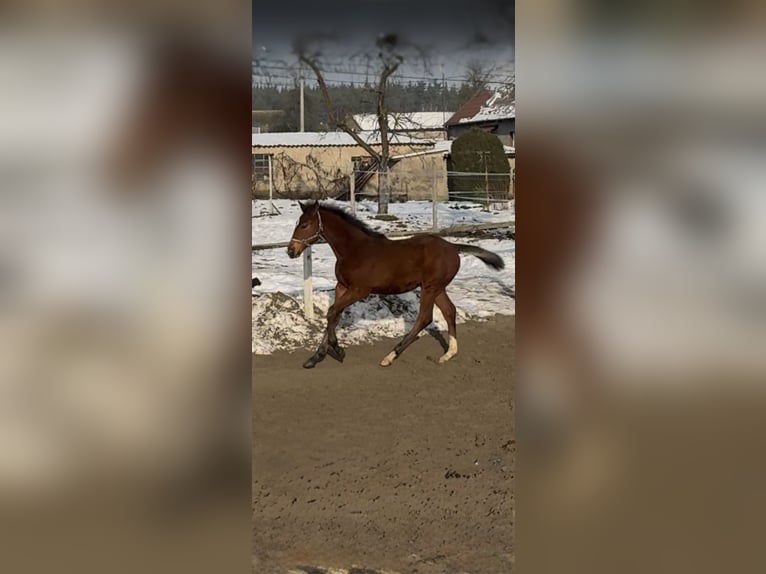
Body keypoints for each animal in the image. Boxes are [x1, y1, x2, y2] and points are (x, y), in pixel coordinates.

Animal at [287, 201, 505, 368]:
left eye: (305, 225)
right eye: (297, 223)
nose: (291, 251)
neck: (354, 250)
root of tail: (453, 247)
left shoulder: (360, 289)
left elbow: (332, 312)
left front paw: (338, 350)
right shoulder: (342, 286)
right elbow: (334, 315)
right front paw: (316, 357)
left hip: (430, 287)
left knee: (424, 318)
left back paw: (390, 357)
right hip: (437, 287)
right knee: (449, 310)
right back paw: (449, 353)